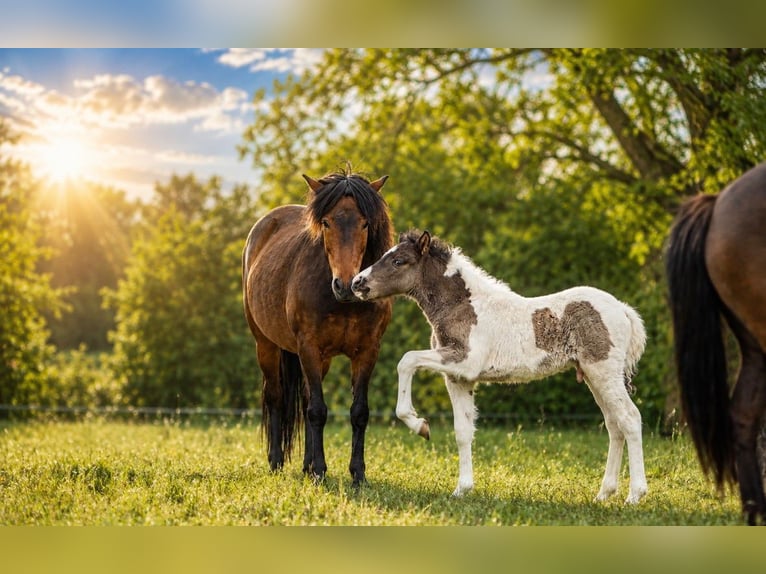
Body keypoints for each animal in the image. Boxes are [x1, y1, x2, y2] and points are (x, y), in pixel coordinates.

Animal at [242, 169, 393, 486]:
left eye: (365, 223)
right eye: (326, 222)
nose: (346, 285)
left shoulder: (367, 351)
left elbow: (358, 412)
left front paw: (357, 474)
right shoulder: (308, 347)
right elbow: (317, 411)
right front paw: (321, 472)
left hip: (320, 360)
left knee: (306, 398)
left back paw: (306, 465)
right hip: (266, 345)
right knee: (276, 397)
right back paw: (277, 462)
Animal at [351, 229, 648, 502]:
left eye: (399, 261)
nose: (357, 282)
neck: (463, 306)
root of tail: (623, 310)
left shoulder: (464, 361)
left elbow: (407, 360)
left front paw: (418, 424)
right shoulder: (459, 378)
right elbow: (463, 431)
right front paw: (462, 489)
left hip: (603, 372)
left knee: (630, 419)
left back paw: (635, 495)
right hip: (592, 375)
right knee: (614, 425)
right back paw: (604, 494)